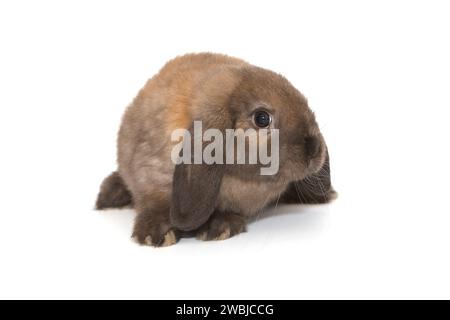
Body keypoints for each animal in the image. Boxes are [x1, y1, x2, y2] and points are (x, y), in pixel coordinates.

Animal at [96, 53, 334, 248]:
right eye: (262, 118)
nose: (315, 149)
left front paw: (220, 227)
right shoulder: (150, 174)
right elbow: (153, 201)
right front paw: (156, 234)